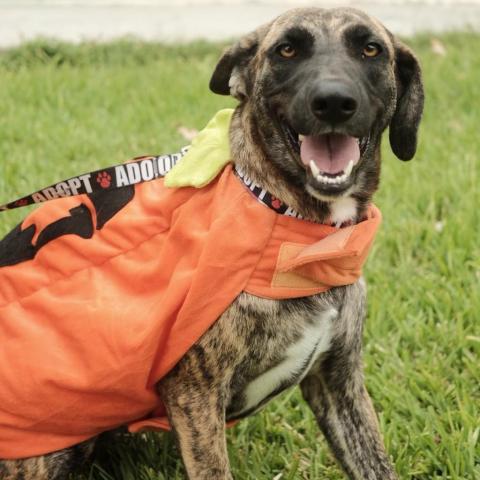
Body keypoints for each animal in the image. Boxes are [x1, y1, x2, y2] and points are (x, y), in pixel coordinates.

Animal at [0, 7, 424, 480]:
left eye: (370, 49)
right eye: (287, 50)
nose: (333, 101)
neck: (296, 225)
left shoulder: (340, 382)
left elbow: (375, 463)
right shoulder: (195, 396)